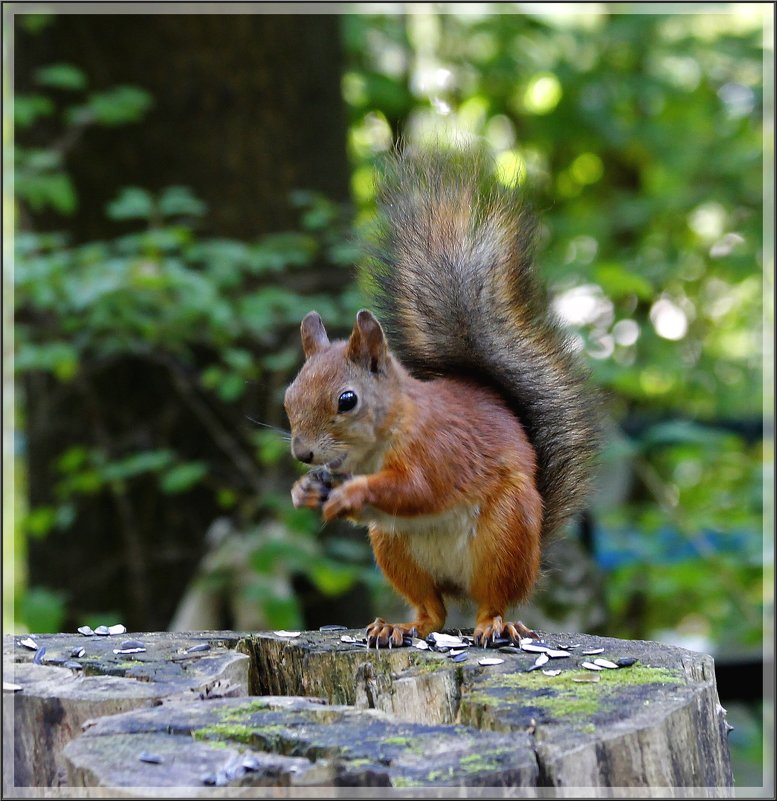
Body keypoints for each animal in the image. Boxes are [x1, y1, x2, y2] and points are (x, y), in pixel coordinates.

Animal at [282, 147, 596, 648]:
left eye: (347, 400)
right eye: (290, 395)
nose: (303, 454)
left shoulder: (440, 450)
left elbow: (418, 489)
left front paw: (351, 493)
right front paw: (305, 490)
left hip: (504, 537)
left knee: (493, 599)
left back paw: (496, 624)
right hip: (394, 548)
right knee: (432, 611)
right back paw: (399, 626)